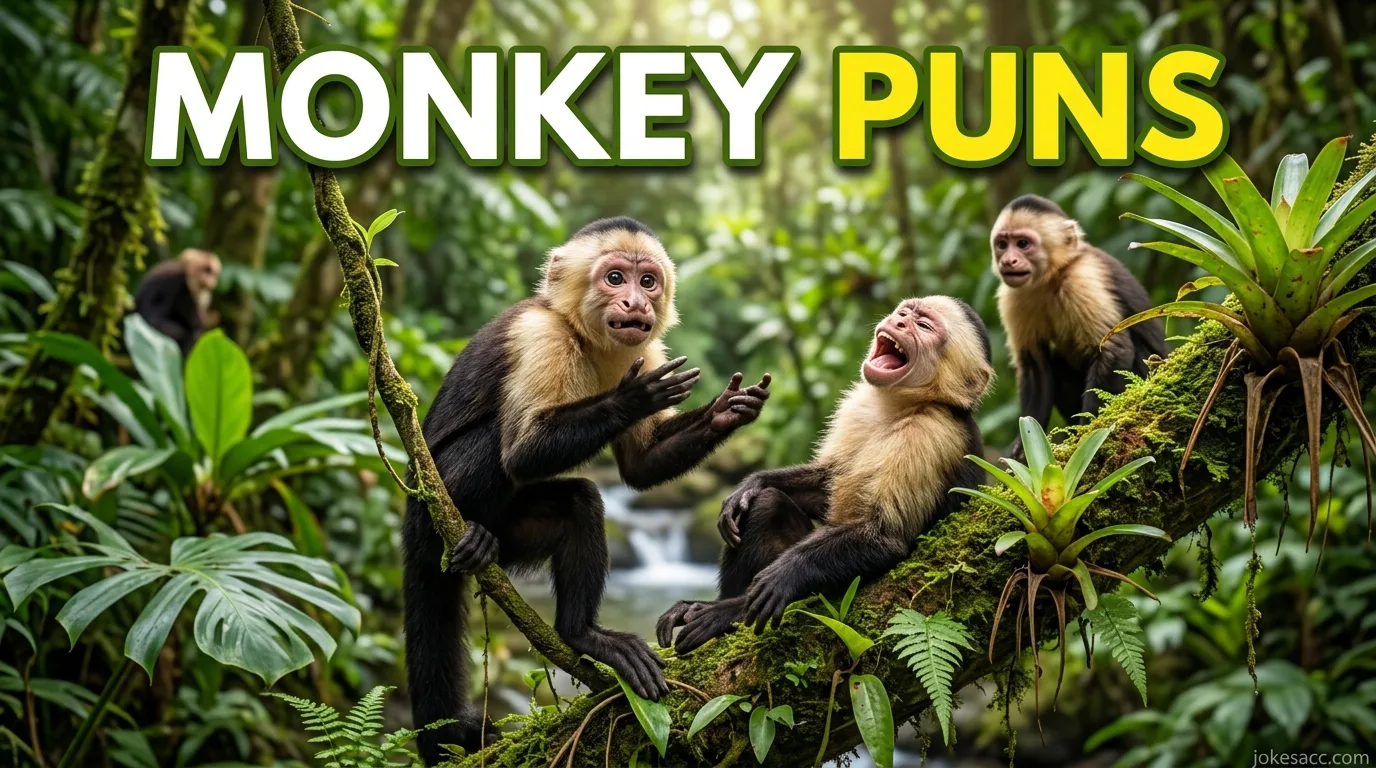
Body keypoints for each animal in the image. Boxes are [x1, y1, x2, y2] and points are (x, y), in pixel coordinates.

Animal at [404, 217, 771, 764]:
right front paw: (635, 397)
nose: (636, 303)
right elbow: (524, 451)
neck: (581, 332)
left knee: (579, 503)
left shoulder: (645, 349)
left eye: (648, 281)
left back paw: (577, 632)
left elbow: (639, 468)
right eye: (615, 278)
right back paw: (469, 536)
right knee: (494, 443)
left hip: (516, 533)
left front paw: (729, 409)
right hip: (431, 504)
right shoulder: (540, 337)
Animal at [655, 296, 992, 654]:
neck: (901, 407)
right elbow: (825, 484)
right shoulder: (857, 409)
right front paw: (751, 484)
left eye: (924, 326)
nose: (899, 321)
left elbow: (885, 536)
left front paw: (782, 575)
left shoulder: (930, 434)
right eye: (905, 313)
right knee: (766, 505)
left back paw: (727, 611)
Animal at [990, 195, 1166, 454]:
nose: (1008, 260)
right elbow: (1035, 366)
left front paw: (1084, 437)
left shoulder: (1080, 279)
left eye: (1023, 244)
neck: (1051, 277)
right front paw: (1023, 448)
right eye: (1002, 244)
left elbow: (1113, 349)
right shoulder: (1013, 297)